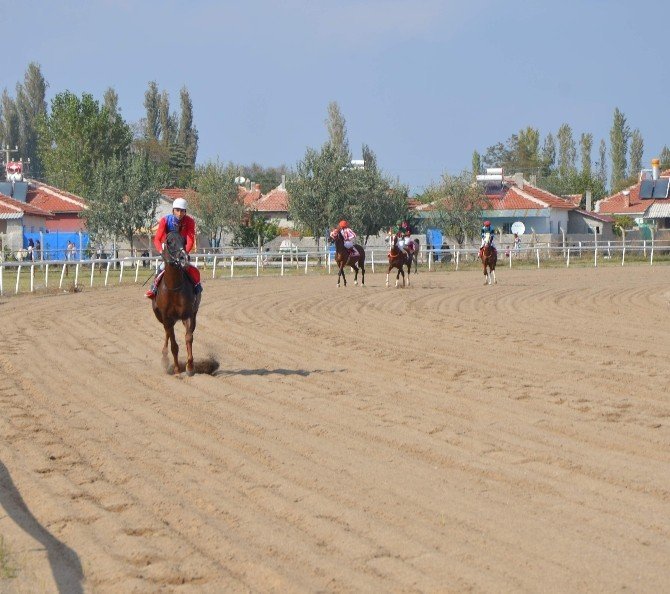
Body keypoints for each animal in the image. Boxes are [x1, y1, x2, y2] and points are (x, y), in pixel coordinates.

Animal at [152, 229, 202, 372]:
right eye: (169, 242)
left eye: (184, 241)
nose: (183, 258)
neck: (174, 288)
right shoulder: (166, 316)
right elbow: (174, 344)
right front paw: (176, 369)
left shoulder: (189, 314)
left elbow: (188, 338)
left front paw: (190, 366)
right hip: (161, 317)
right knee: (167, 333)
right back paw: (164, 358)